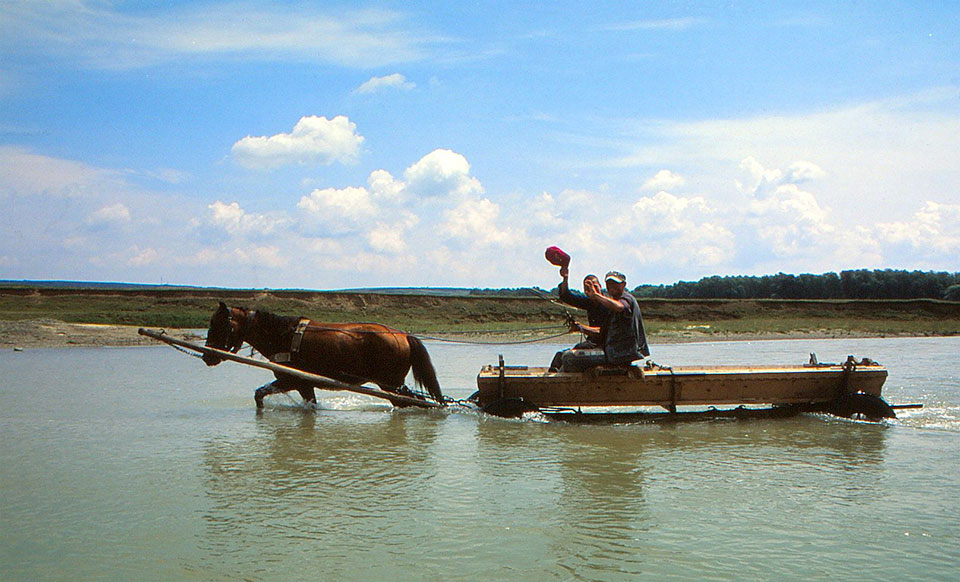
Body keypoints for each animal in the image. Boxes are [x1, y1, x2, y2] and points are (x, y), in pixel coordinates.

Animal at [204, 306, 444, 410]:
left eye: (217, 324)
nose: (207, 356)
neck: (283, 335)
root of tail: (402, 335)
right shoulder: (304, 384)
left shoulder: (291, 380)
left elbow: (260, 394)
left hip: (391, 385)